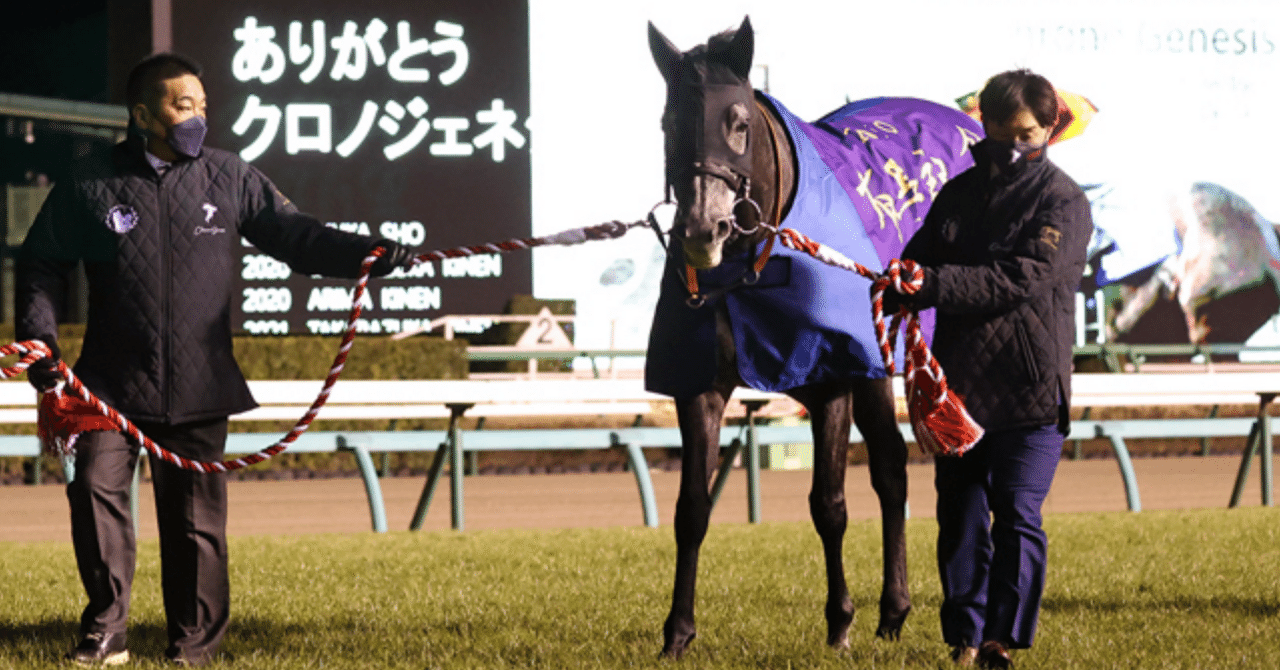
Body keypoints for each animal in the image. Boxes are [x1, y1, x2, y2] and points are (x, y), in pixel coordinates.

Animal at [644, 17, 983, 658]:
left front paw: (839, 621)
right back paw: (894, 611)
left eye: (738, 122)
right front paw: (677, 632)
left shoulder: (831, 377)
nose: (702, 229)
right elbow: (692, 507)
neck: (755, 261)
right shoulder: (700, 383)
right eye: (668, 122)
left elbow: (828, 504)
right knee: (892, 467)